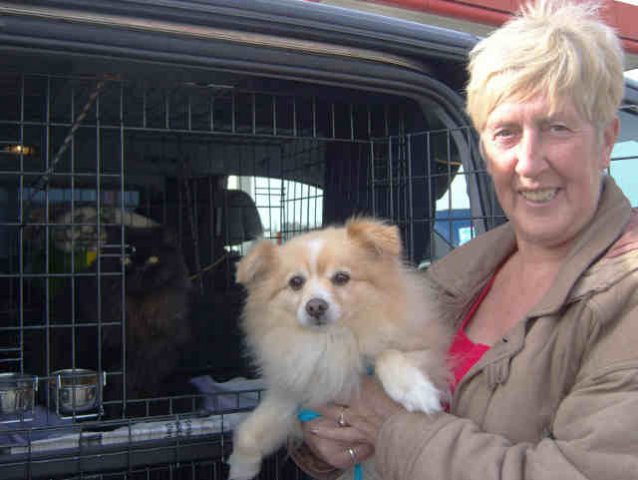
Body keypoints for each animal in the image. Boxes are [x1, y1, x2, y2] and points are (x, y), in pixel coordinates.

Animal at [228, 218, 452, 480]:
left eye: (341, 277)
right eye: (296, 282)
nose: (315, 306)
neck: (332, 340)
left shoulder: (431, 355)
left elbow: (387, 355)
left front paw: (414, 390)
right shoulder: (293, 397)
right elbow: (249, 433)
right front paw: (240, 468)